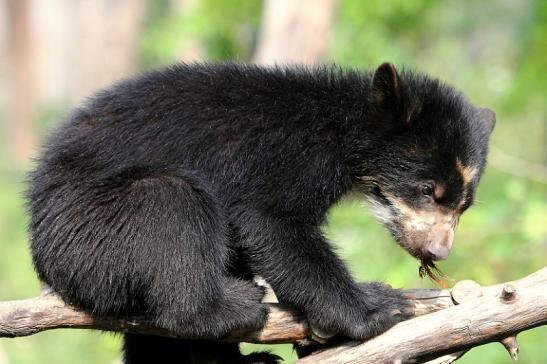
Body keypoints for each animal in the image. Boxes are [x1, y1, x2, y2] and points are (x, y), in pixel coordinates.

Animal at [25, 61, 496, 362]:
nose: (437, 251)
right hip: (88, 238)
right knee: (169, 201)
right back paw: (233, 307)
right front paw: (376, 307)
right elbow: (271, 221)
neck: (346, 131)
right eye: (427, 190)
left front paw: (319, 335)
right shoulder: (290, 157)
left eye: (464, 206)